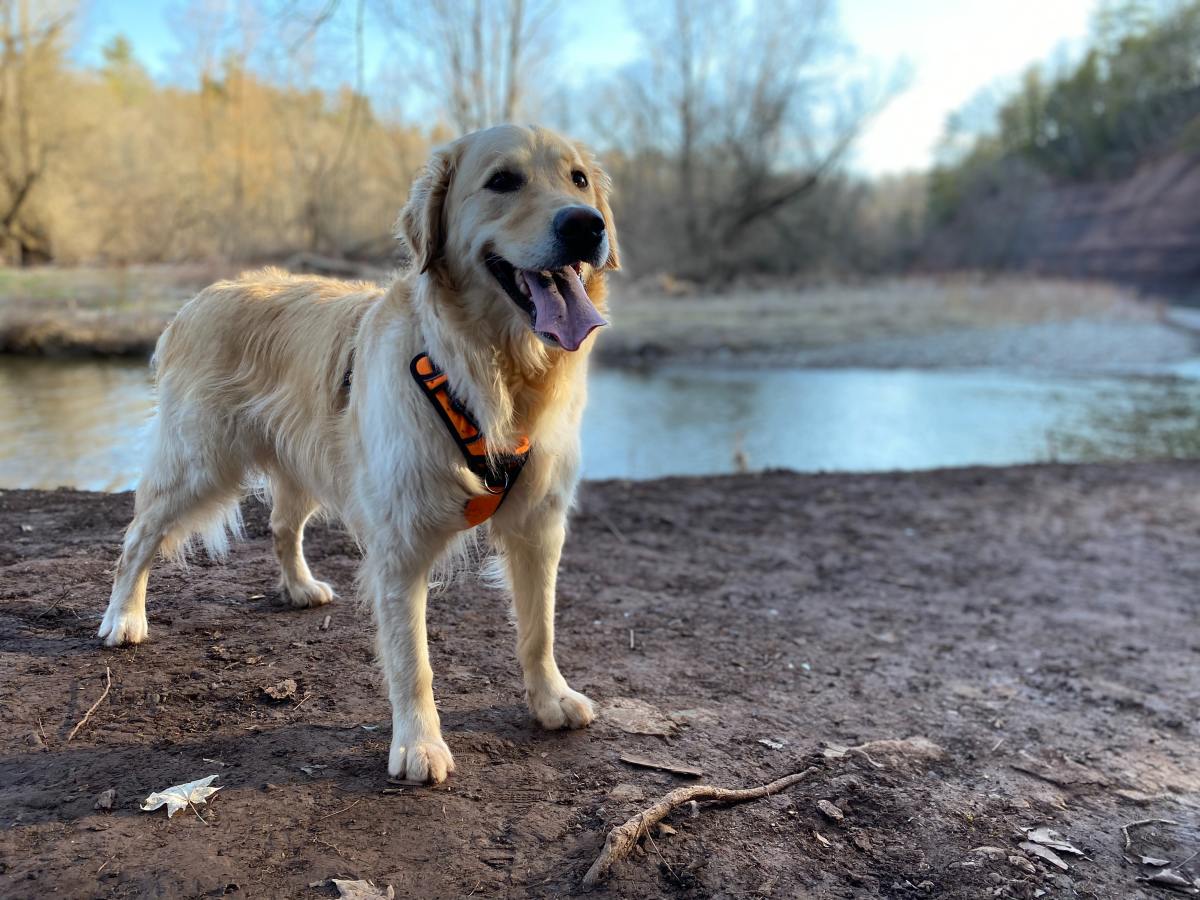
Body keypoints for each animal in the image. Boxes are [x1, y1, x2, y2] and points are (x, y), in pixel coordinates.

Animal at [99, 125, 624, 782]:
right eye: (503, 180)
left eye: (578, 179)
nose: (586, 226)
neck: (486, 371)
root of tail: (199, 299)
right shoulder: (401, 542)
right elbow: (412, 659)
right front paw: (419, 746)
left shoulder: (539, 523)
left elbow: (540, 628)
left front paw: (551, 698)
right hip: (199, 463)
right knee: (138, 537)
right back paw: (123, 617)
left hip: (305, 462)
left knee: (281, 525)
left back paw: (299, 587)